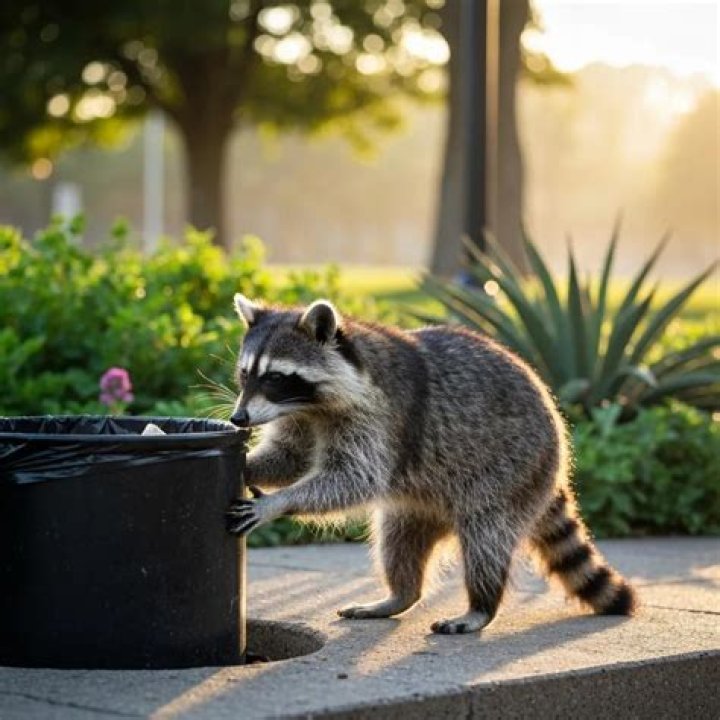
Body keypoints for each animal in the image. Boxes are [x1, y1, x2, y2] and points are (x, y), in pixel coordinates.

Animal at [226, 295, 637, 633]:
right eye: (245, 373)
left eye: (276, 377)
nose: (239, 418)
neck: (311, 405)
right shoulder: (301, 417)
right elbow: (290, 458)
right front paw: (252, 466)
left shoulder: (381, 417)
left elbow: (356, 478)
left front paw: (276, 502)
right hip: (418, 505)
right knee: (398, 542)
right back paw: (400, 594)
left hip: (512, 472)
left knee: (485, 538)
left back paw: (481, 606)